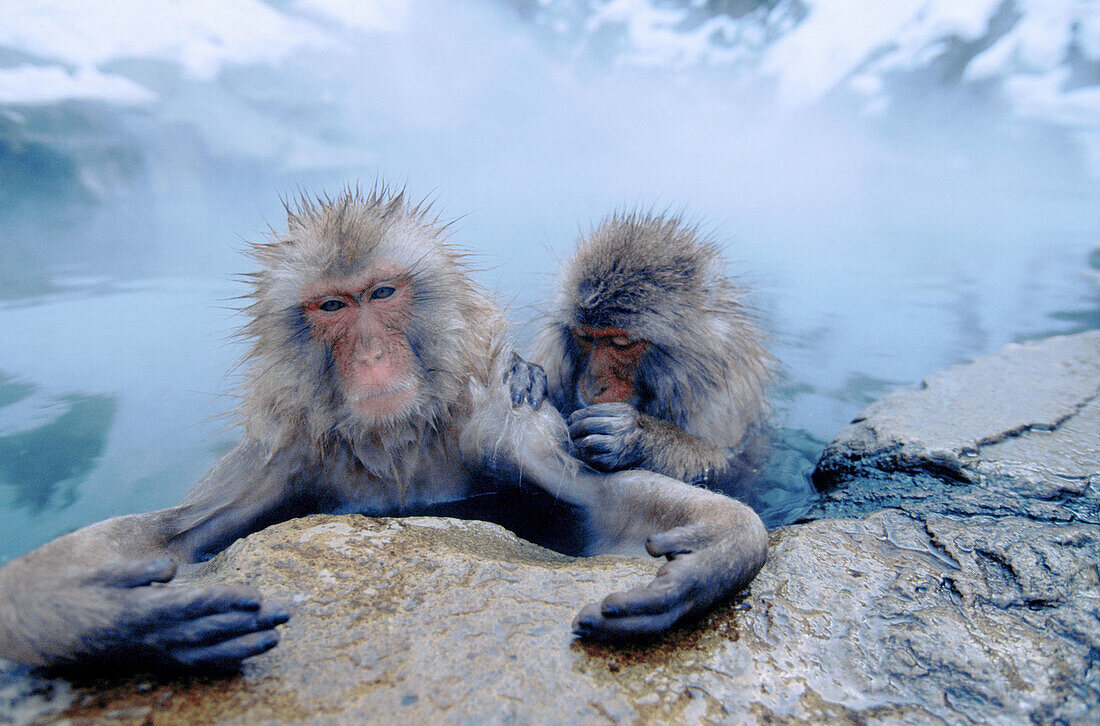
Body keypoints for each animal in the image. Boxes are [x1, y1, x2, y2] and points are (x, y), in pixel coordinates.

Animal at [530, 212, 774, 490]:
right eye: (584, 336)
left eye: (621, 343)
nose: (593, 386)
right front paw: (529, 376)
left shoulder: (724, 394)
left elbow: (727, 463)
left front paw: (634, 436)